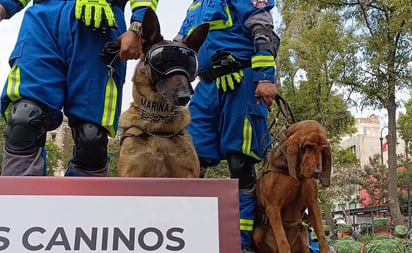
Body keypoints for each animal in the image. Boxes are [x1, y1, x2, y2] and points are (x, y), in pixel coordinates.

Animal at [253, 120, 334, 253]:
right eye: (309, 146)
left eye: (323, 149)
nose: (317, 172)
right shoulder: (273, 206)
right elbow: (282, 240)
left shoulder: (313, 203)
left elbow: (321, 234)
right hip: (256, 233)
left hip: (303, 233)